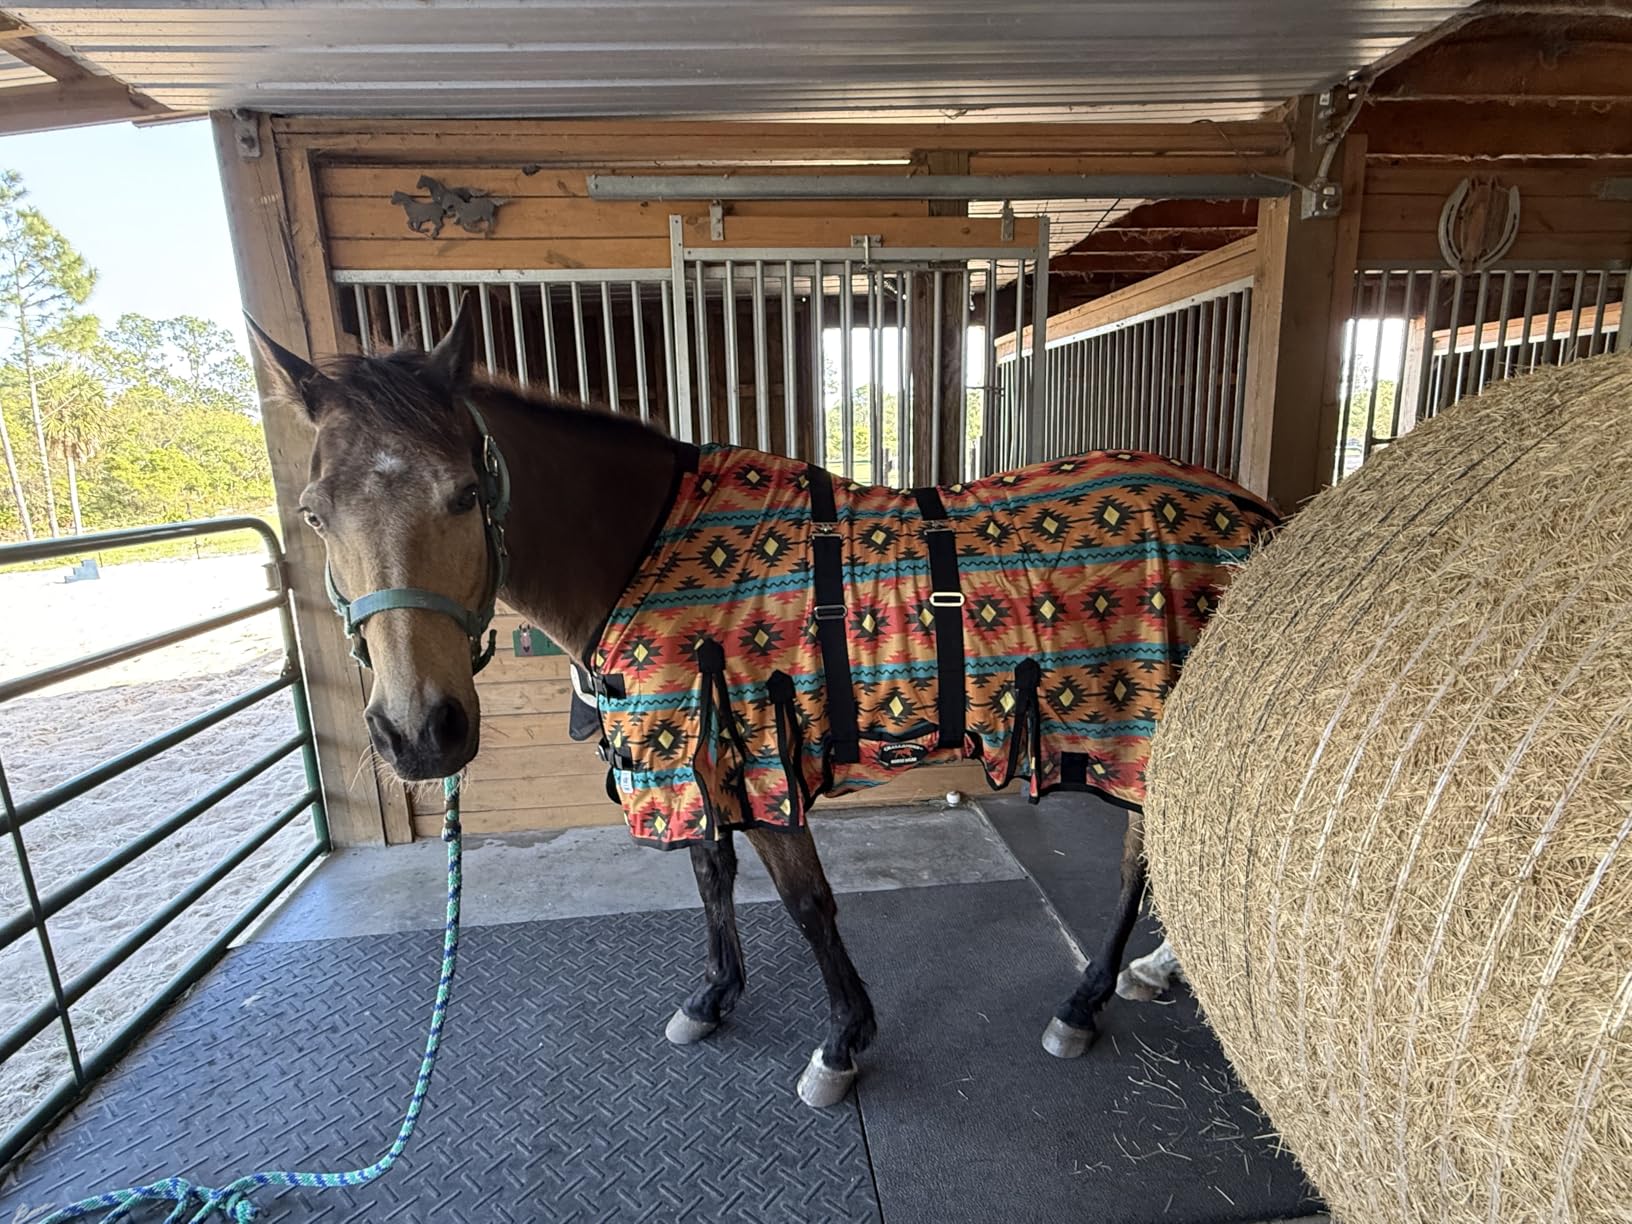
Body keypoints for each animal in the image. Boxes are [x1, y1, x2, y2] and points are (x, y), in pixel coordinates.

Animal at [246, 300, 1277, 1109]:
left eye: (465, 493)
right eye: (314, 513)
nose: (421, 734)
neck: (646, 546)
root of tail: (1256, 513)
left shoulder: (763, 755)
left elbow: (806, 902)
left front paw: (842, 1043)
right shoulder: (697, 757)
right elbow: (713, 876)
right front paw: (714, 1000)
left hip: (1146, 729)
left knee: (1141, 862)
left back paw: (1085, 1001)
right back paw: (1152, 969)